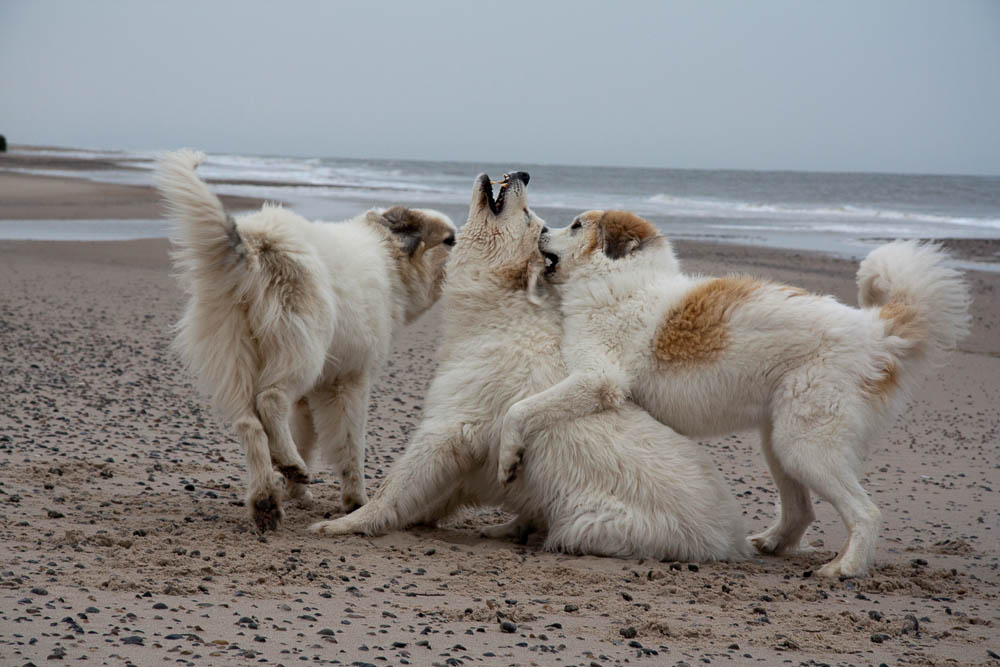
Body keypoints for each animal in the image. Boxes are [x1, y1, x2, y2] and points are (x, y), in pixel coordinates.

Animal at [154, 150, 456, 532]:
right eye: (450, 240)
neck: (389, 259)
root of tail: (255, 242)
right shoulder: (349, 383)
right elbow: (351, 446)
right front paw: (356, 501)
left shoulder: (311, 395)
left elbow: (305, 436)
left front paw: (297, 492)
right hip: (301, 351)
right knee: (269, 400)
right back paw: (287, 466)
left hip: (236, 356)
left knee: (250, 423)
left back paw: (267, 499)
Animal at [498, 210, 968, 580]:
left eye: (576, 225)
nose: (541, 228)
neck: (620, 282)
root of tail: (876, 330)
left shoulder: (598, 379)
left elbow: (519, 410)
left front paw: (508, 458)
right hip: (778, 443)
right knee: (802, 511)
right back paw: (772, 544)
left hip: (805, 446)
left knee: (866, 513)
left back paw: (845, 568)